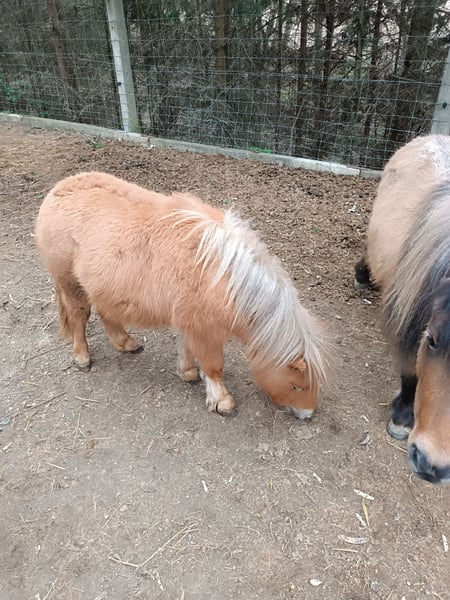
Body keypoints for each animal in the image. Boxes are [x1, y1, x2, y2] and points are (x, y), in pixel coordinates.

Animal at [35, 171, 331, 419]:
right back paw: (82, 358)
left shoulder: (192, 322)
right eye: (296, 386)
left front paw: (187, 373)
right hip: (69, 283)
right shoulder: (205, 329)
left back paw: (126, 343)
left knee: (107, 313)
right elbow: (214, 366)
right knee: (79, 316)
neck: (225, 275)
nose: (307, 415)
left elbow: (188, 349)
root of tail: (57, 191)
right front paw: (222, 401)